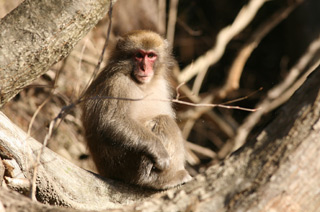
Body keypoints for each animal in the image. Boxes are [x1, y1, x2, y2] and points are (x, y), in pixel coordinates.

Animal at [82, 29, 191, 189]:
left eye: (151, 56)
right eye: (138, 55)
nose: (144, 68)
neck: (142, 83)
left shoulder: (163, 86)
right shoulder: (118, 83)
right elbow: (111, 122)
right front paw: (160, 151)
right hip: (126, 164)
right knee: (163, 120)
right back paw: (163, 179)